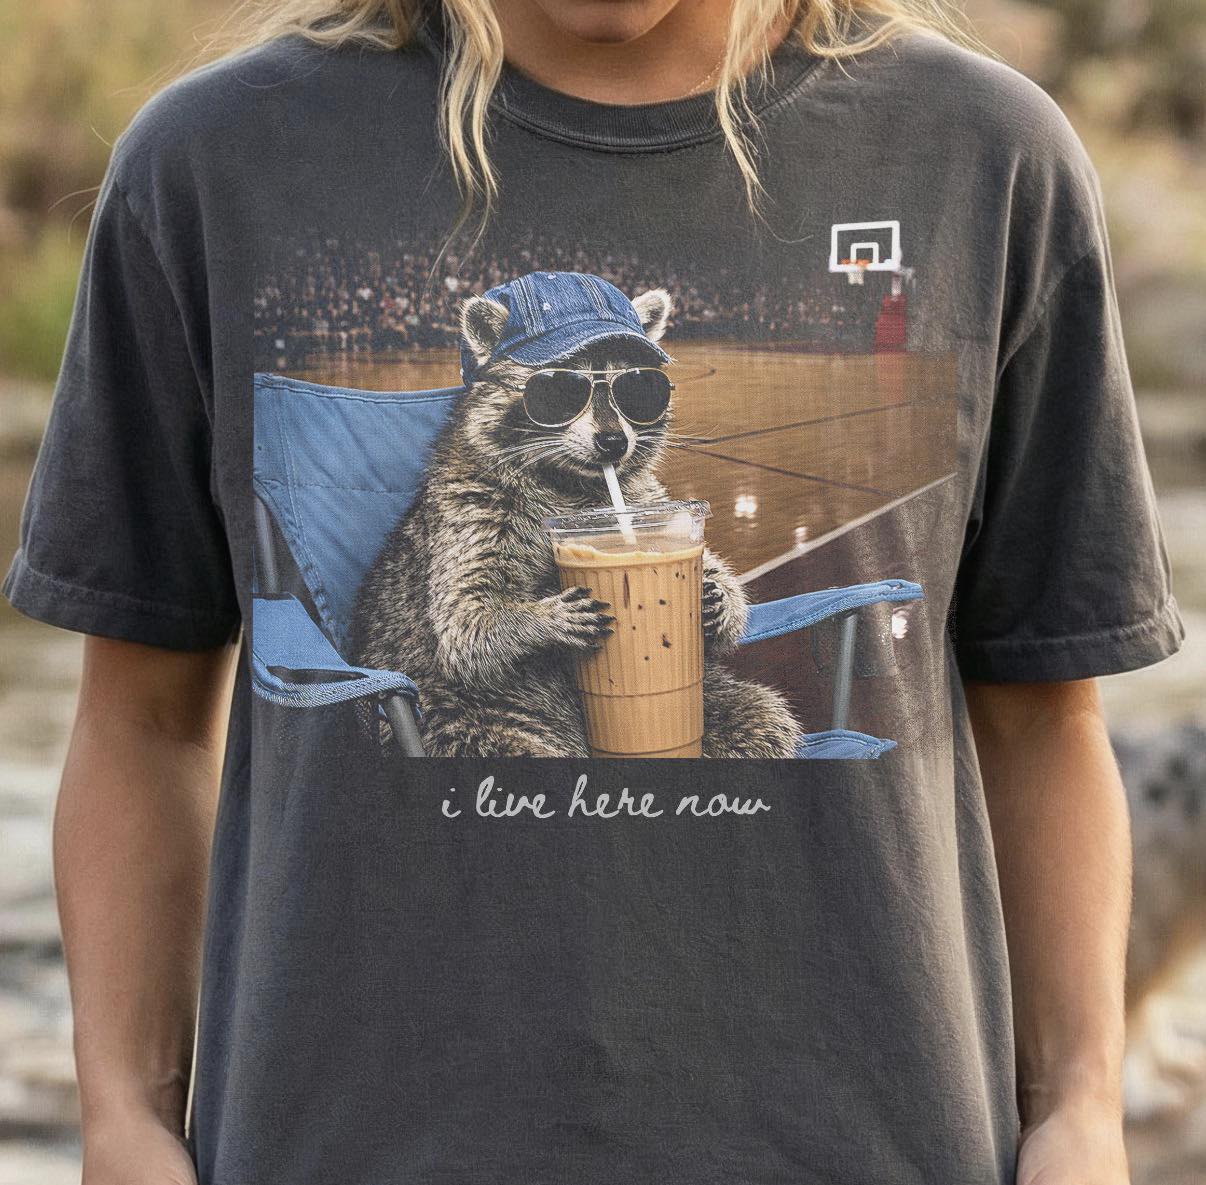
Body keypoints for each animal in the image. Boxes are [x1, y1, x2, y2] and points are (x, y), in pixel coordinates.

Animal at [348, 286, 801, 758]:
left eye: (640, 387)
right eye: (559, 390)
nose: (614, 442)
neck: (575, 484)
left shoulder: (651, 501)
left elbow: (714, 572)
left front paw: (719, 597)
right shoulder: (467, 511)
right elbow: (465, 624)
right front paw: (535, 619)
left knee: (764, 719)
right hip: (460, 721)